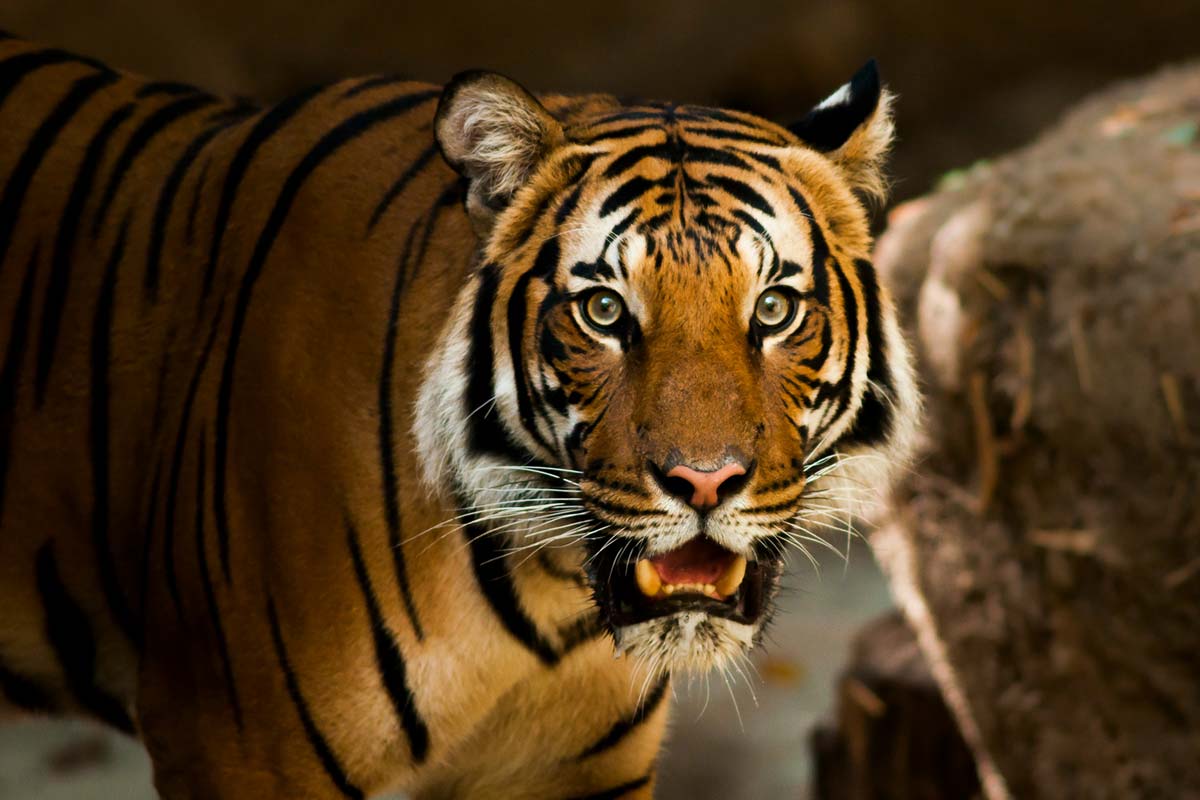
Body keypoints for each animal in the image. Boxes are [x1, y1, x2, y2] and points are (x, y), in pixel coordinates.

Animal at [0, 29, 919, 800]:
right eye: (604, 311)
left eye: (772, 310)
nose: (705, 482)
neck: (546, 600)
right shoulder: (237, 748)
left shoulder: (579, 772)